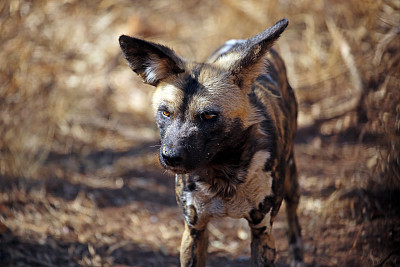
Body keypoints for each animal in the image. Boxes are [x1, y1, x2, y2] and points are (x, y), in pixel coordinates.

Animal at [119, 17, 304, 266]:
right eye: (165, 113)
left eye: (208, 116)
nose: (171, 157)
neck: (222, 170)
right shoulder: (194, 229)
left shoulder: (262, 232)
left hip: (291, 180)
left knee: (294, 211)